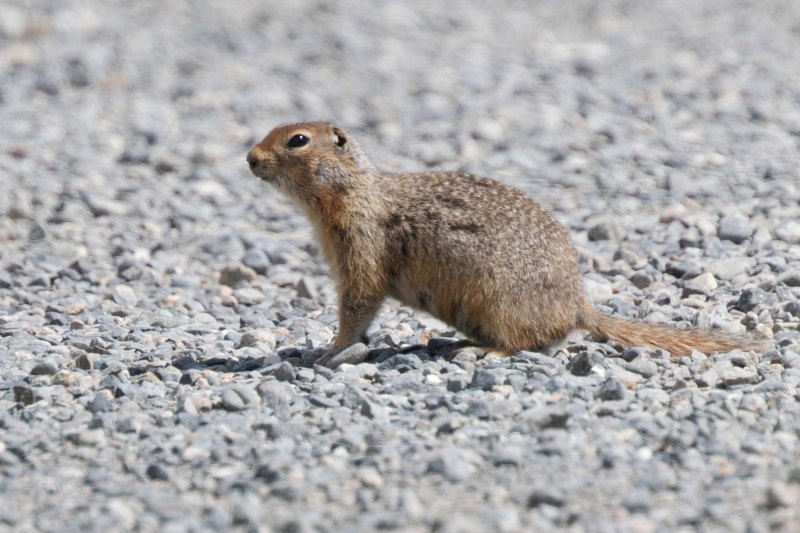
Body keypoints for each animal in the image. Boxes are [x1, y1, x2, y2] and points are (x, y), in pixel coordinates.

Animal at [247, 122, 764, 364]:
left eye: (297, 140)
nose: (249, 158)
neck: (353, 192)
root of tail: (577, 305)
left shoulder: (361, 246)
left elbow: (358, 305)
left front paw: (326, 351)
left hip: (501, 301)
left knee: (531, 342)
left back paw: (481, 352)